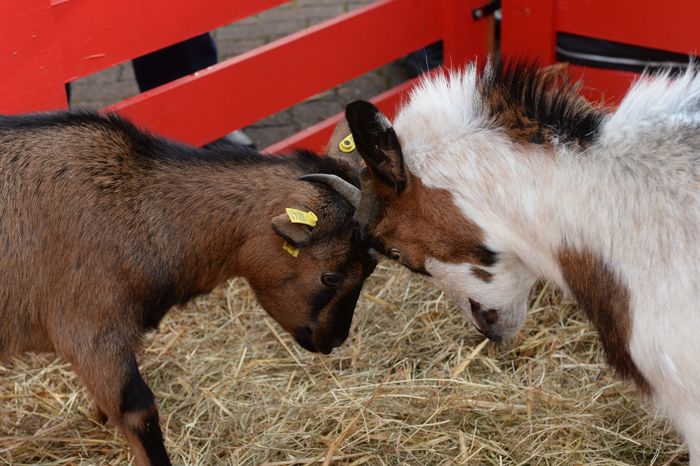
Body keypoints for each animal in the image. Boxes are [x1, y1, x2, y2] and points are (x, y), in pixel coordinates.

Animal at [0, 112, 378, 466]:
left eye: (370, 267)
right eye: (331, 277)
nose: (333, 340)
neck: (134, 205)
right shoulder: (93, 333)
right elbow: (138, 411)